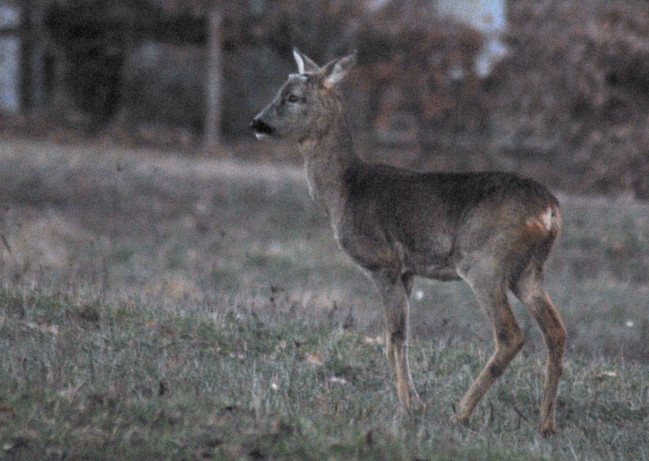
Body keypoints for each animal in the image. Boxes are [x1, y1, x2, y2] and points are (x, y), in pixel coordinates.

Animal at [251, 49, 564, 434]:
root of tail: (550, 210)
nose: (257, 123)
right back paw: (546, 424)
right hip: (529, 270)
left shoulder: (383, 262)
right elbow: (400, 339)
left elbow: (393, 338)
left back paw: (461, 412)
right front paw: (415, 401)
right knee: (556, 331)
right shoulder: (408, 270)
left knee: (511, 335)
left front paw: (407, 407)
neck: (344, 190)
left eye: (293, 97)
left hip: (485, 263)